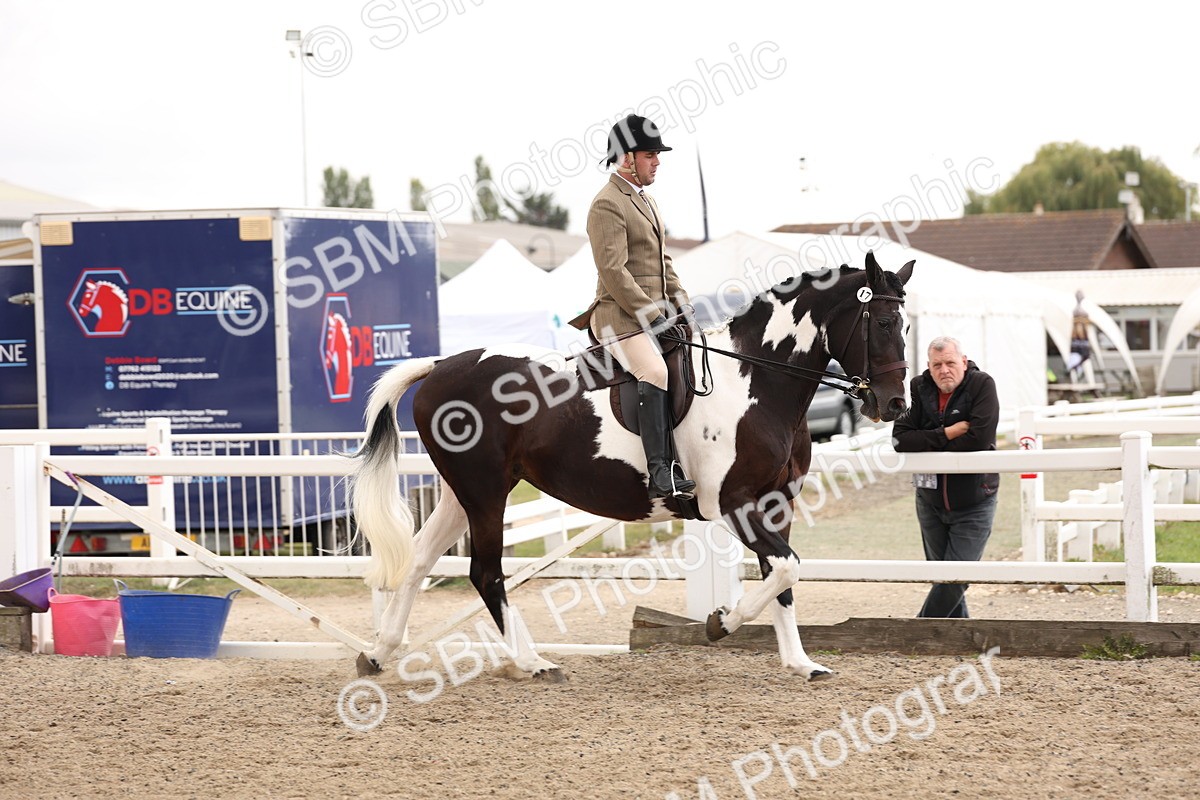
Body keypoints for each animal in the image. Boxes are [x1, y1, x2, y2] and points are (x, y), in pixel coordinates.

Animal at [349, 252, 913, 681]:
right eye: (884, 323)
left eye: (906, 324)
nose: (894, 404)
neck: (755, 380)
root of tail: (440, 366)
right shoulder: (734, 503)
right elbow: (786, 566)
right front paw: (721, 623)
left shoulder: (778, 502)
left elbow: (783, 575)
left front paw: (801, 663)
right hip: (486, 494)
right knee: (485, 573)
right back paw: (533, 663)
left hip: (462, 491)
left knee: (419, 561)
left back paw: (378, 653)